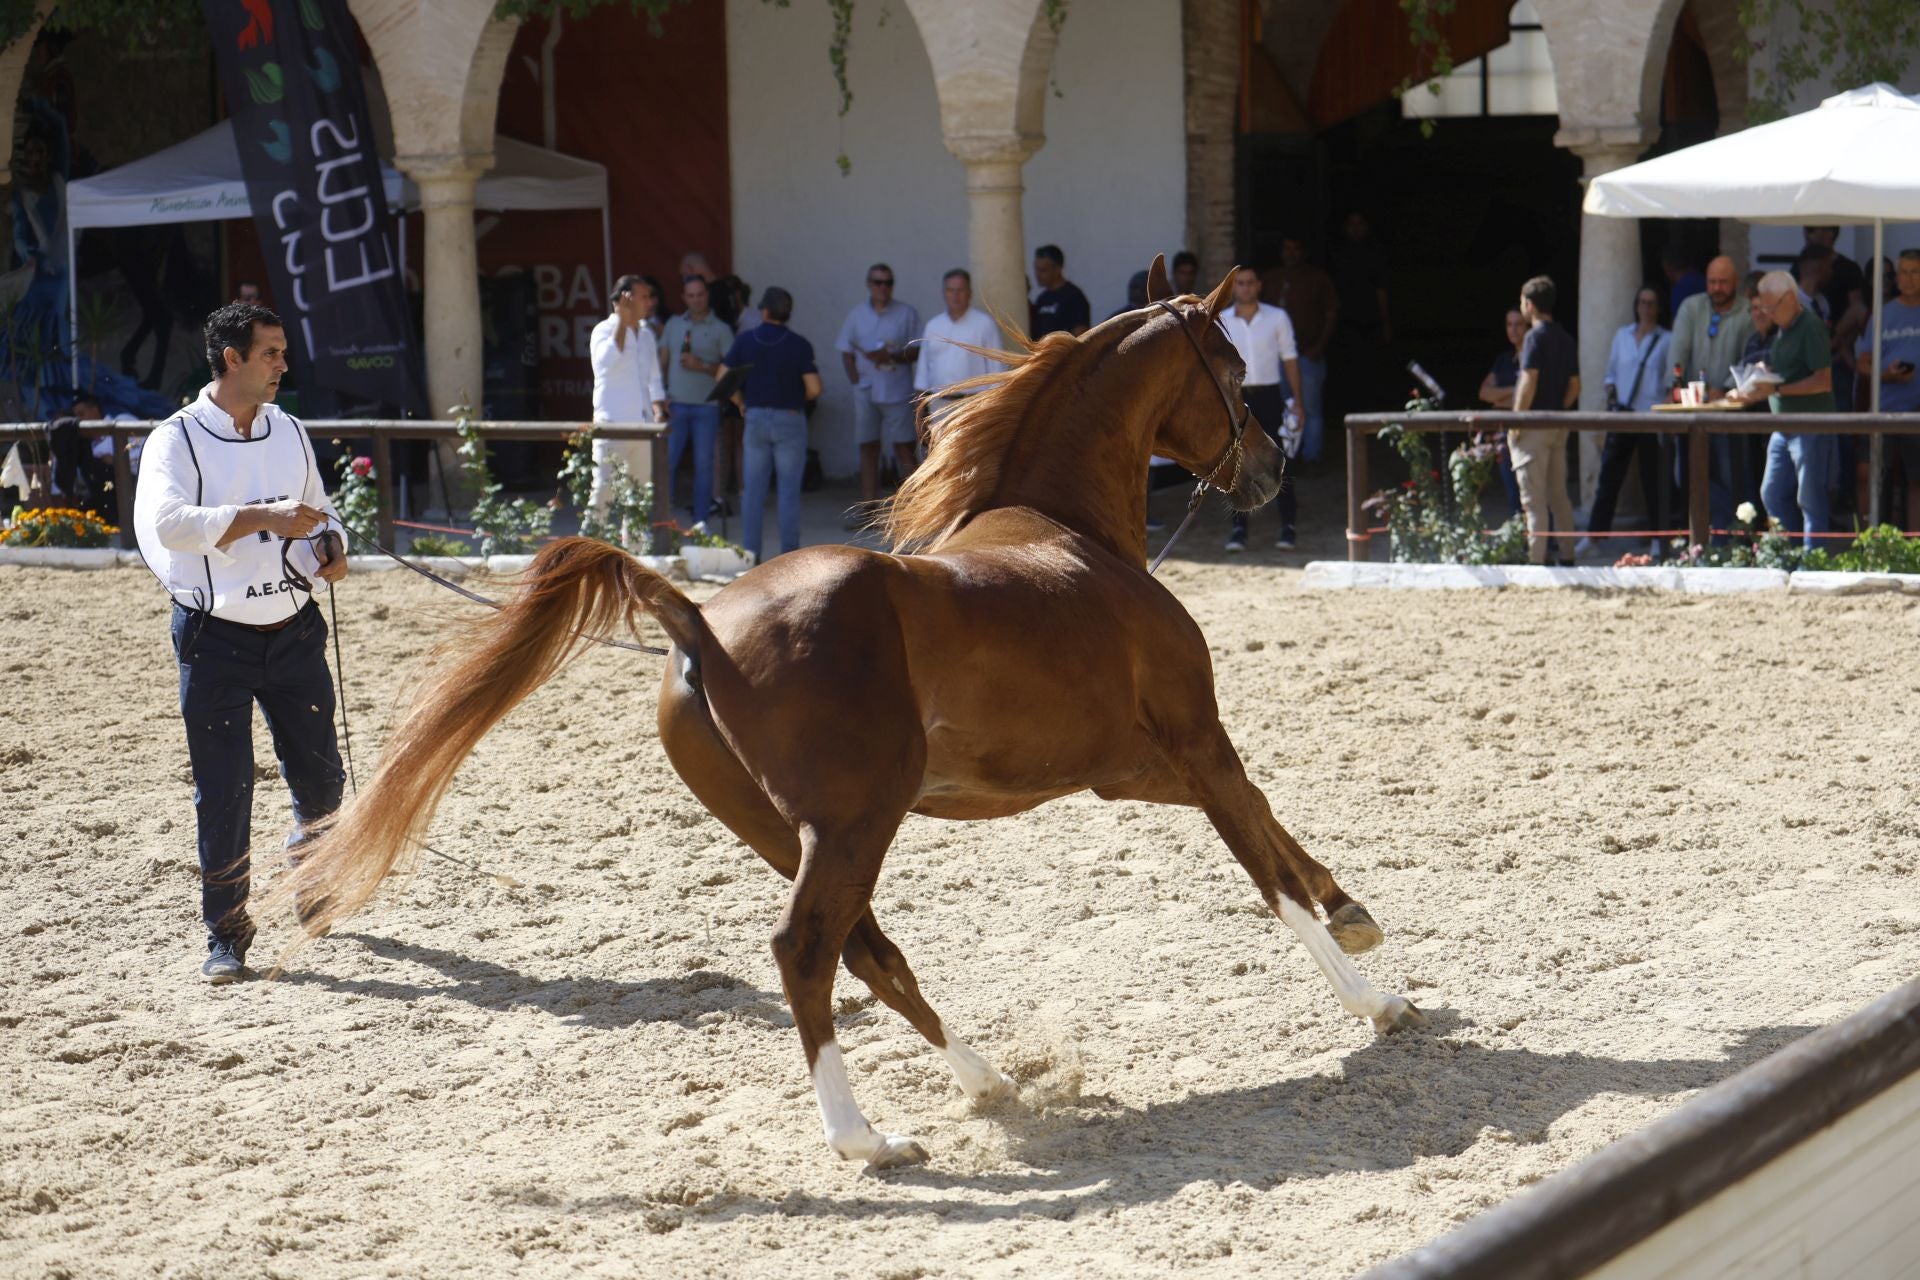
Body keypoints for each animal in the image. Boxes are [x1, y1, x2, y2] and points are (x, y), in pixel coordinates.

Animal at [281, 256, 1425, 1170]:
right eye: (1231, 370)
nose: (1270, 468)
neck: (1075, 537)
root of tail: (696, 623)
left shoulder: (1135, 766)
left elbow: (1269, 823)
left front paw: (1357, 915)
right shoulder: (1192, 738)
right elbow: (1264, 867)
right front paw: (1376, 1000)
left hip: (789, 831)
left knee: (866, 949)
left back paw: (987, 1082)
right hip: (852, 824)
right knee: (807, 950)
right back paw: (866, 1138)